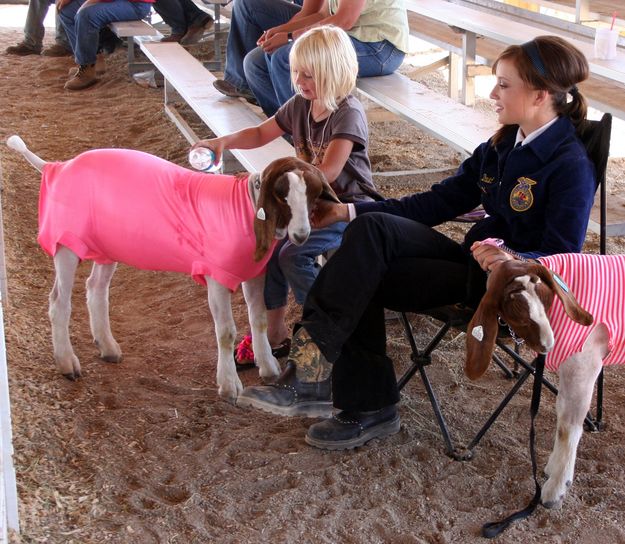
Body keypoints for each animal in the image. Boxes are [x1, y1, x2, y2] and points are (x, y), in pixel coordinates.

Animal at [4, 135, 336, 400]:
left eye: (312, 194)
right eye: (281, 195)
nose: (302, 235)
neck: (245, 209)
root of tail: (59, 167)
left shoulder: (253, 273)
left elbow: (260, 319)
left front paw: (268, 368)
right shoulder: (217, 277)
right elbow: (226, 332)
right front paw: (229, 385)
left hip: (107, 244)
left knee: (95, 289)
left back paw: (108, 347)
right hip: (67, 243)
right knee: (58, 302)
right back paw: (67, 363)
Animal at [464, 252, 624, 510]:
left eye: (545, 296)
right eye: (517, 315)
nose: (548, 344)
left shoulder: (583, 363)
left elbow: (568, 426)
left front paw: (555, 491)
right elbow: (561, 417)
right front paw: (551, 470)